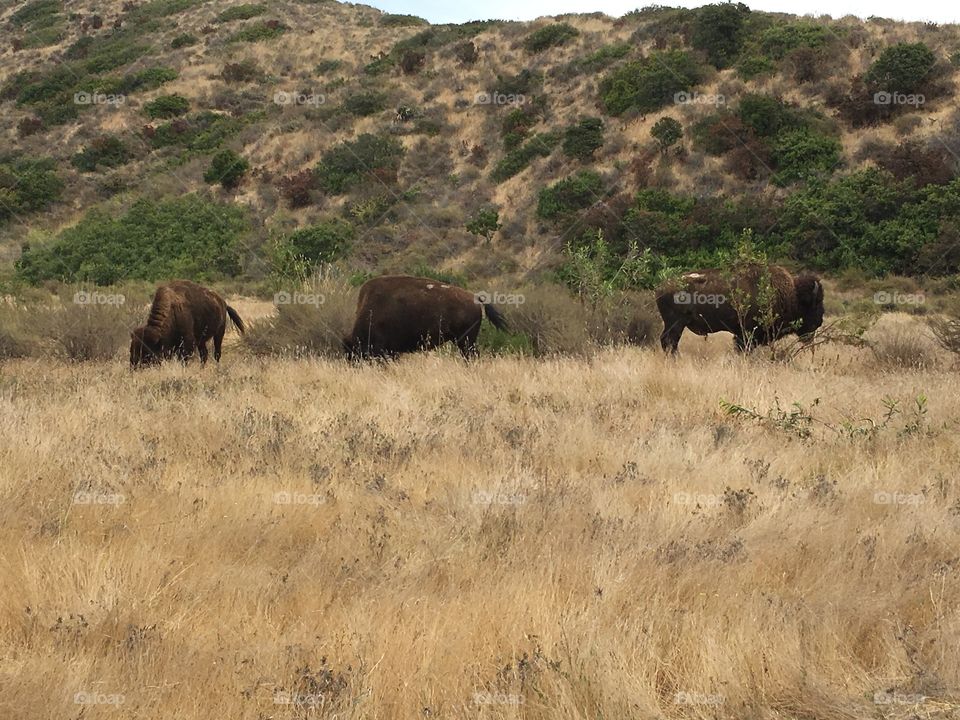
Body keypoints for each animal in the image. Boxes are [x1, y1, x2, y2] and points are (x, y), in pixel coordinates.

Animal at [656, 264, 824, 353]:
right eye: (815, 303)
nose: (820, 321)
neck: (791, 295)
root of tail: (660, 287)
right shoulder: (746, 333)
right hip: (676, 323)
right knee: (670, 341)